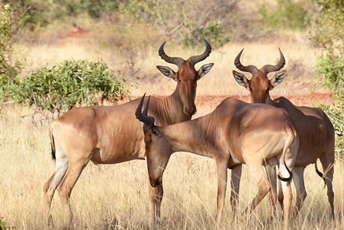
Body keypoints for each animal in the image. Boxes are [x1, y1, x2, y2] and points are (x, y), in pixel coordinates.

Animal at [42, 39, 214, 226]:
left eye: (195, 77)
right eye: (178, 78)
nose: (190, 109)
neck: (162, 108)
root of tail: (56, 122)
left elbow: (160, 192)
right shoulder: (152, 156)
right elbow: (155, 192)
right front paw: (153, 223)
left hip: (63, 161)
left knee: (48, 187)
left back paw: (49, 222)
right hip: (78, 161)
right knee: (64, 189)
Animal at [136, 94, 300, 229]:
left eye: (148, 141)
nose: (153, 180)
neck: (216, 120)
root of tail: (287, 126)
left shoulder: (221, 160)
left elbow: (220, 196)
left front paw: (219, 224)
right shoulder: (236, 165)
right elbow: (234, 198)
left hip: (254, 162)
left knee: (264, 186)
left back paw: (242, 219)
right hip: (284, 163)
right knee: (288, 195)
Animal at [232, 49, 334, 219]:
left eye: (268, 87)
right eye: (251, 86)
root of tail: (325, 118)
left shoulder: (281, 161)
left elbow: (280, 195)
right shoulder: (268, 163)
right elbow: (272, 193)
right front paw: (271, 219)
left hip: (327, 157)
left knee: (330, 191)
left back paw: (333, 218)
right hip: (299, 166)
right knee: (302, 193)